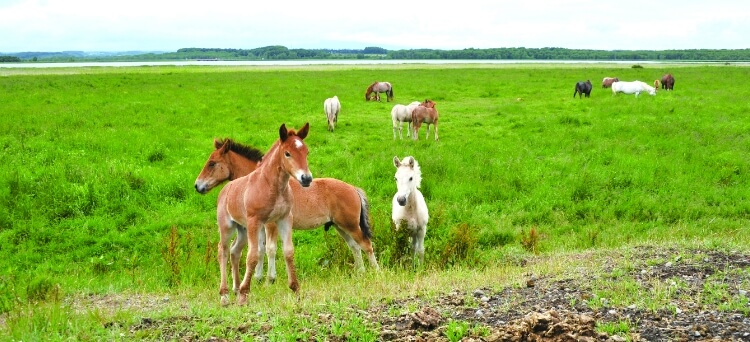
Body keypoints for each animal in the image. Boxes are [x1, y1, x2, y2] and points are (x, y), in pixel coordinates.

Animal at [214, 122, 314, 304]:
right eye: (287, 153)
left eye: (306, 152)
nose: (306, 179)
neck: (273, 186)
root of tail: (226, 188)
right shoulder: (256, 221)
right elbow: (253, 256)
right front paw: (244, 294)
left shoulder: (284, 219)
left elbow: (288, 252)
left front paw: (296, 290)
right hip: (226, 226)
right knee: (223, 251)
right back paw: (224, 294)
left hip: (242, 229)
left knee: (234, 251)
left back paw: (235, 289)